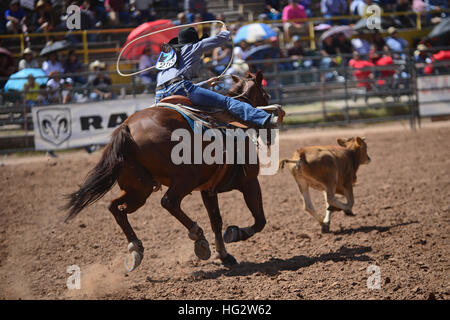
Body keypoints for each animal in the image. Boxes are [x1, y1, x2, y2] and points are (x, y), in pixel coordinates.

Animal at [64, 70, 278, 270]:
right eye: (266, 95)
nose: (269, 135)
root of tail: (127, 128)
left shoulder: (208, 189)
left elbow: (216, 221)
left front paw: (224, 256)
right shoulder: (250, 182)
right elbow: (260, 220)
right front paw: (235, 233)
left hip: (140, 188)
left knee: (115, 207)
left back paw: (136, 249)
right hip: (185, 178)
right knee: (169, 202)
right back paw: (198, 238)